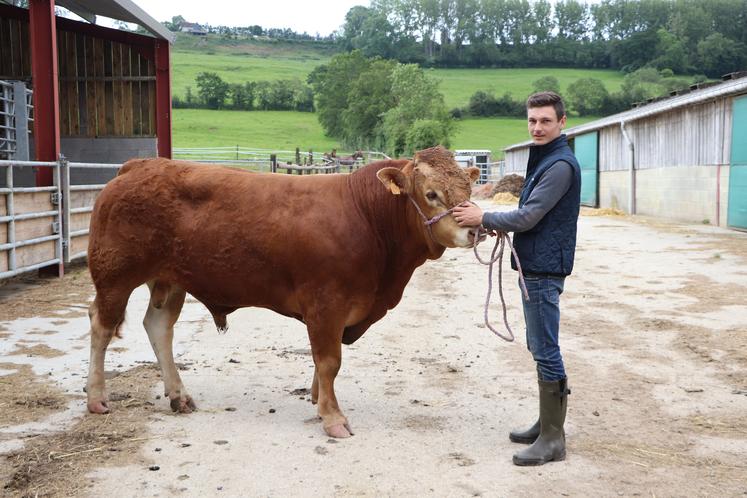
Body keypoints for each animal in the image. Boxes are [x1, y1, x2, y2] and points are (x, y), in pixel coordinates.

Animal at [86, 146, 480, 438]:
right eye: (431, 194)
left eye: (468, 190)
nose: (474, 229)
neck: (367, 217)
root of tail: (137, 166)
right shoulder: (325, 303)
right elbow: (329, 360)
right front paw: (333, 417)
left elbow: (323, 363)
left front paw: (318, 399)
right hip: (114, 276)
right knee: (101, 327)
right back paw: (97, 399)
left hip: (170, 281)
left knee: (158, 328)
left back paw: (179, 396)